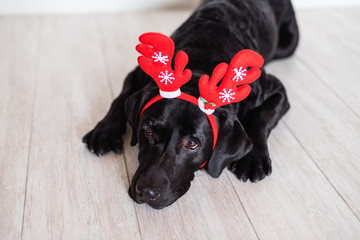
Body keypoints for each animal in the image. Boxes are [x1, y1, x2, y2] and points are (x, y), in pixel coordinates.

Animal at [83, 0, 298, 208]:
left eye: (192, 143)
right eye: (149, 130)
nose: (146, 192)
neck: (199, 67)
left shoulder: (277, 90)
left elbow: (260, 118)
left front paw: (253, 159)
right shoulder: (138, 73)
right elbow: (119, 99)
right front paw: (105, 131)